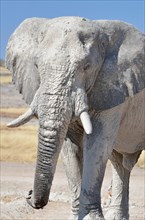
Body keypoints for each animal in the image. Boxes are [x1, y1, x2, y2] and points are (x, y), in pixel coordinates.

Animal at [6, 15, 144, 220]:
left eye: (87, 67)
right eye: (37, 66)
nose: (29, 195)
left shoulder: (113, 86)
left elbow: (97, 143)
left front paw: (91, 218)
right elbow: (70, 147)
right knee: (120, 163)